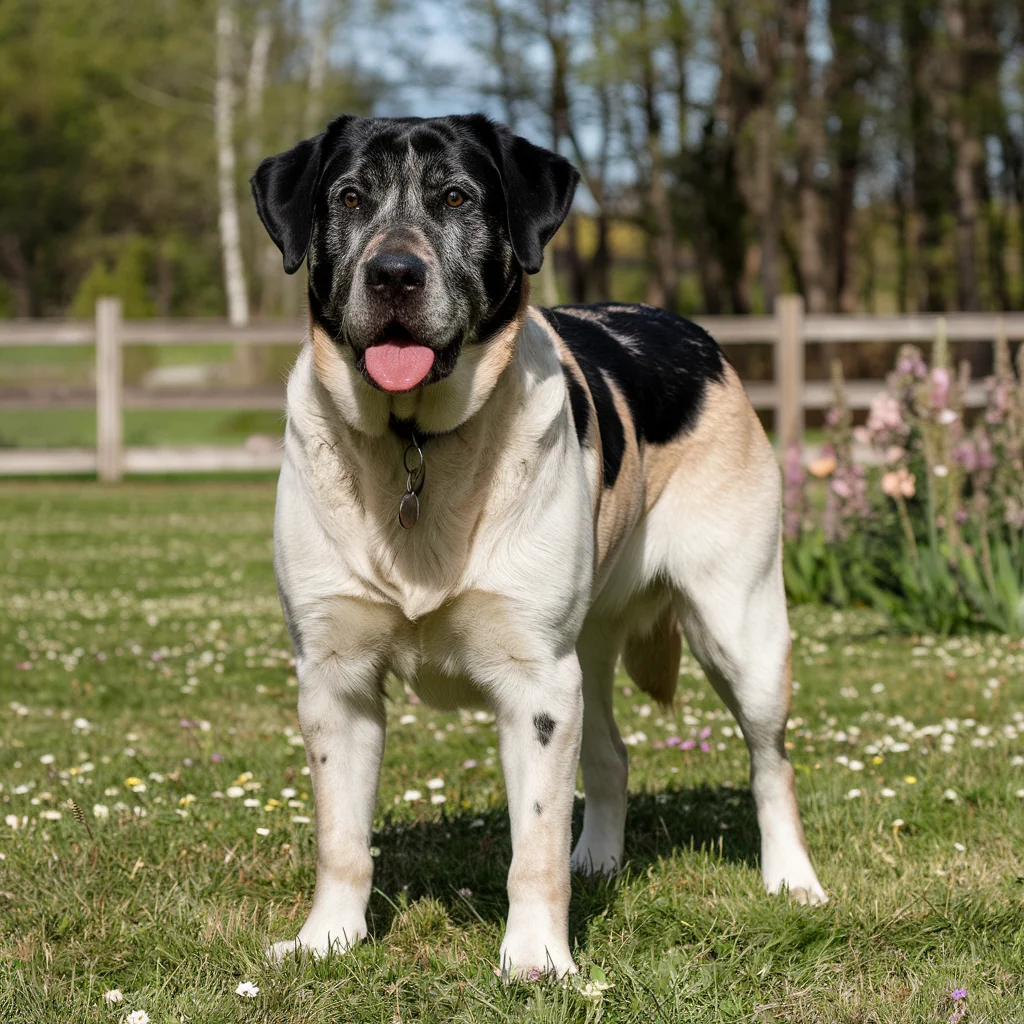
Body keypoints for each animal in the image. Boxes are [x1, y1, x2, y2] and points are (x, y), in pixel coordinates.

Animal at [251, 112, 827, 974]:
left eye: (457, 197)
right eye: (349, 198)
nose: (394, 275)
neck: (417, 444)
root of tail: (691, 329)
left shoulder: (538, 685)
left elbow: (535, 845)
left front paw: (536, 960)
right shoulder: (333, 678)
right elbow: (342, 839)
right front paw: (329, 939)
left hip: (741, 629)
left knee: (771, 763)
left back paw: (791, 879)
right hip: (590, 642)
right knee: (613, 755)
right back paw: (601, 861)